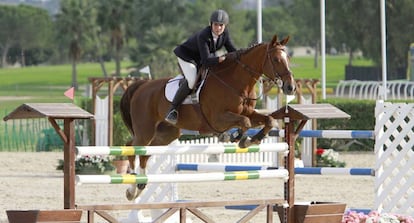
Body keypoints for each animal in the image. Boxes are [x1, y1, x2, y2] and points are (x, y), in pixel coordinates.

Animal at [119, 34, 294, 200]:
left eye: (288, 58)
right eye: (276, 59)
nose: (290, 87)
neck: (235, 81)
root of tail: (141, 86)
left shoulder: (248, 112)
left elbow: (268, 120)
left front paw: (252, 139)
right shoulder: (218, 118)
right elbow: (245, 122)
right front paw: (237, 137)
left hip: (166, 134)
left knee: (145, 152)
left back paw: (140, 185)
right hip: (145, 130)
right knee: (131, 147)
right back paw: (132, 187)